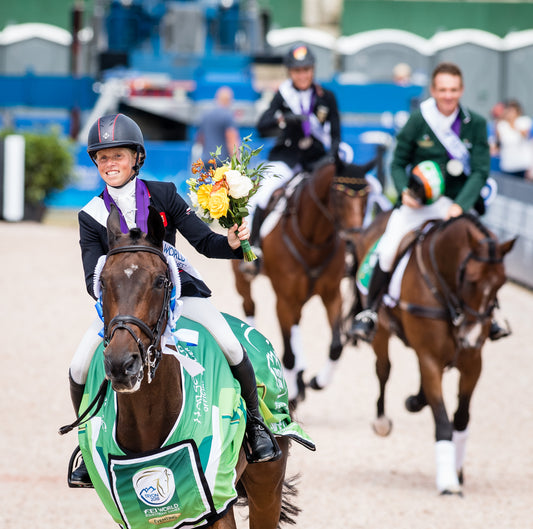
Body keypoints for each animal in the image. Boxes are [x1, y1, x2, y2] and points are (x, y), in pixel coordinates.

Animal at [231, 157, 372, 404]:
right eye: (338, 194)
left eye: (367, 197)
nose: (353, 241)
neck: (312, 240)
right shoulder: (284, 300)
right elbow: (288, 355)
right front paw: (292, 393)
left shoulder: (331, 295)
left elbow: (336, 346)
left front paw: (316, 381)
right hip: (243, 279)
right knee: (250, 305)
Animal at [352, 211, 512, 496]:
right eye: (470, 279)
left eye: (501, 283)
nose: (471, 336)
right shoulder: (431, 360)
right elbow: (443, 421)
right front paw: (448, 482)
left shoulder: (473, 362)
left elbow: (461, 418)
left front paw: (457, 471)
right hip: (381, 330)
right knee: (383, 369)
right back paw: (382, 420)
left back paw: (416, 400)